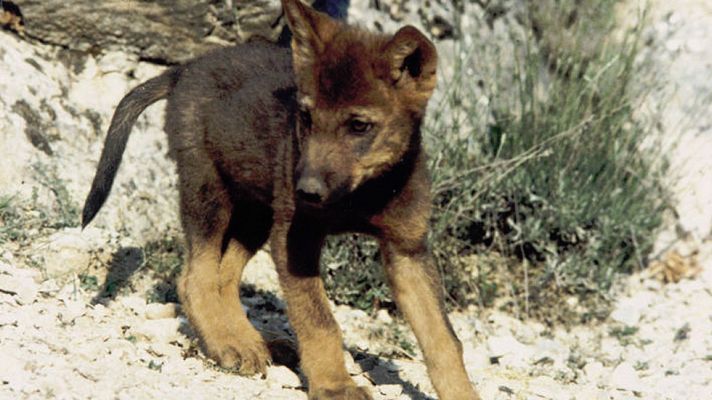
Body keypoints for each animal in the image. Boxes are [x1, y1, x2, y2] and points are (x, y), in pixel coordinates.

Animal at [82, 0, 479, 398]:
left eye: (359, 126)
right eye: (306, 117)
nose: (306, 190)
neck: (363, 195)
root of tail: (184, 69)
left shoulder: (407, 251)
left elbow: (443, 338)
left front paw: (462, 392)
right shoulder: (296, 238)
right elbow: (319, 320)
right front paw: (334, 385)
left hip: (257, 214)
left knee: (223, 278)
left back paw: (254, 342)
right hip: (209, 194)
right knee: (194, 278)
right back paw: (229, 343)